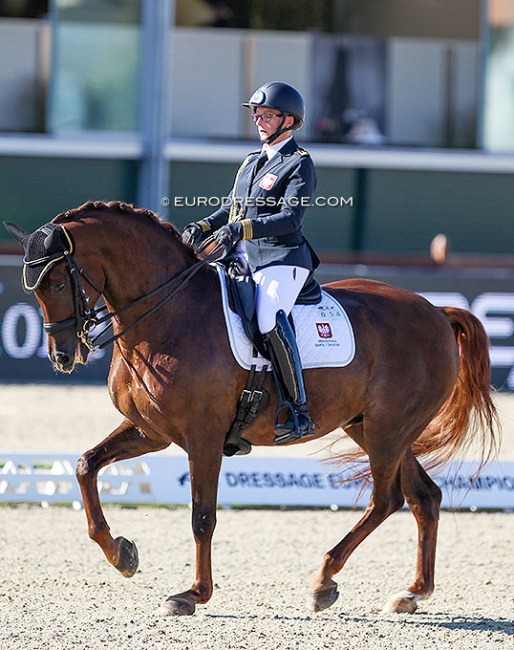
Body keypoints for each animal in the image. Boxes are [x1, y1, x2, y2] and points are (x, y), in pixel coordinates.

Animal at [4, 201, 496, 612]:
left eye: (57, 280)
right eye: (34, 287)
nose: (63, 356)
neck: (168, 313)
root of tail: (437, 311)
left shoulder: (202, 438)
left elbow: (202, 517)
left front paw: (193, 595)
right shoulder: (152, 432)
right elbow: (86, 466)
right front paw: (122, 553)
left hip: (386, 431)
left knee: (386, 499)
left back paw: (324, 580)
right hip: (373, 427)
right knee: (424, 498)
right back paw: (412, 593)